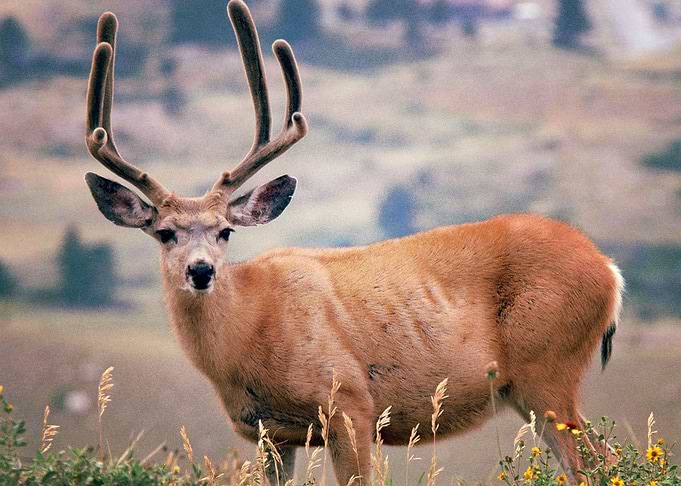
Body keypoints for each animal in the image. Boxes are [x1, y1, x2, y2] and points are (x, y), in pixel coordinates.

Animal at [83, 1, 624, 484]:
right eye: (164, 232)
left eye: (225, 230)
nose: (200, 270)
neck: (250, 329)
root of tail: (609, 270)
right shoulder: (270, 434)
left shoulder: (349, 403)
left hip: (547, 367)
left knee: (596, 463)